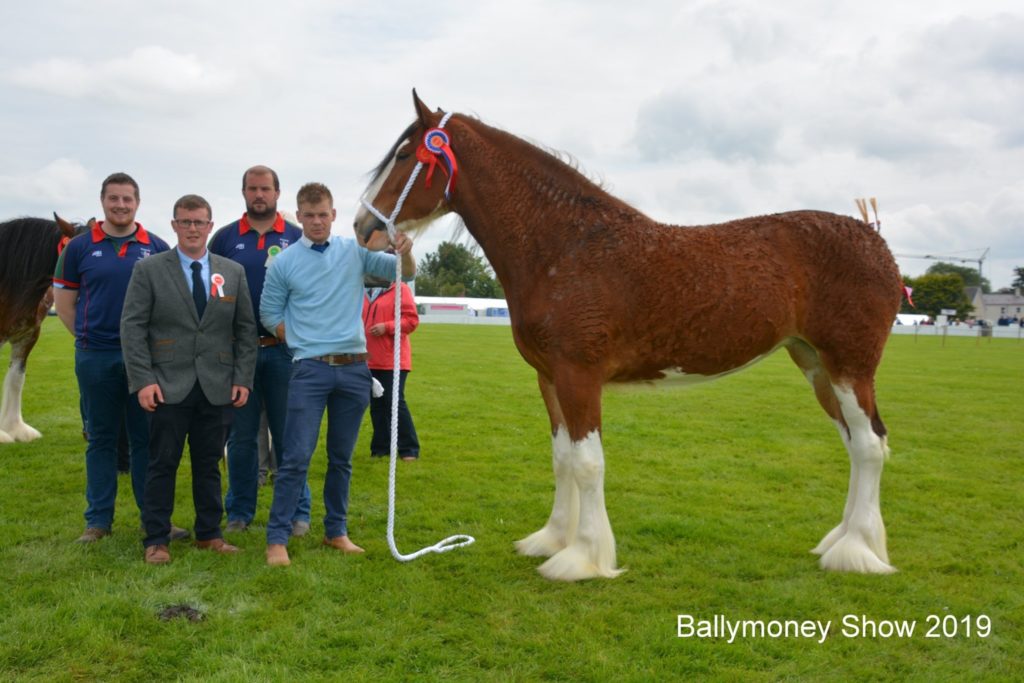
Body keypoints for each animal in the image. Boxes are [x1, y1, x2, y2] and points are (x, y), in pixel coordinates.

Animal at [354, 92, 905, 581]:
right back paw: (842, 540)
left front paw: (582, 559)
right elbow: (562, 459)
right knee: (856, 443)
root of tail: (875, 241)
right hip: (816, 366)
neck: (566, 247)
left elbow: (587, 463)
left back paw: (855, 552)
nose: (363, 227)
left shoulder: (579, 376)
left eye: (404, 155)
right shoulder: (549, 378)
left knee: (869, 446)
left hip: (850, 366)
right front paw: (550, 540)